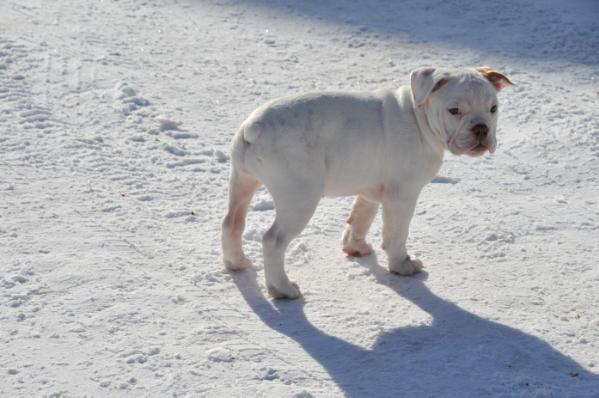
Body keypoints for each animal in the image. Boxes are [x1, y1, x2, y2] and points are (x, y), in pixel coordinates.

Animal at [223, 67, 512, 298]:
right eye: (454, 111)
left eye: (493, 109)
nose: (481, 128)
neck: (419, 116)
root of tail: (254, 127)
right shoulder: (402, 195)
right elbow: (395, 233)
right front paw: (402, 266)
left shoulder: (371, 188)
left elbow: (361, 217)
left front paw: (356, 248)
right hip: (299, 198)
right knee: (273, 241)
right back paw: (283, 289)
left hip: (242, 182)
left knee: (232, 222)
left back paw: (237, 263)